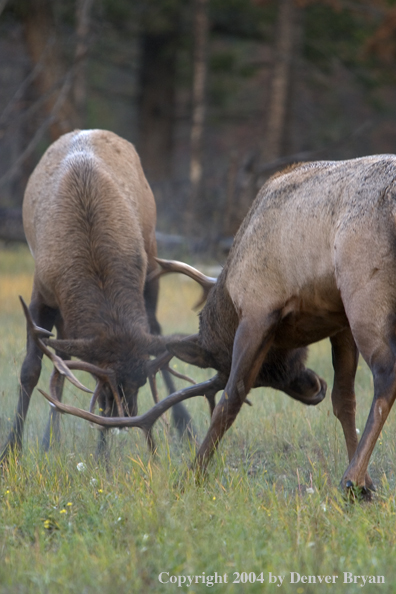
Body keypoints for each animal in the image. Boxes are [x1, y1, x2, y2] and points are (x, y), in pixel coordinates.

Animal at [0, 128, 195, 462]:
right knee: (61, 361)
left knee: (156, 328)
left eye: (140, 381)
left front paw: (101, 457)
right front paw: (11, 449)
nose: (124, 419)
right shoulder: (42, 291)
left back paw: (186, 426)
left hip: (153, 256)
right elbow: (30, 370)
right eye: (104, 380)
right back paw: (50, 440)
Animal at [35, 155, 396, 498]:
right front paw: (368, 481)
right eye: (268, 376)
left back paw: (349, 481)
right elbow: (344, 400)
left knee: (385, 373)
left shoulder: (257, 309)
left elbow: (231, 398)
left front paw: (192, 474)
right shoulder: (337, 318)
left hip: (365, 287)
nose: (313, 388)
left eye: (222, 362)